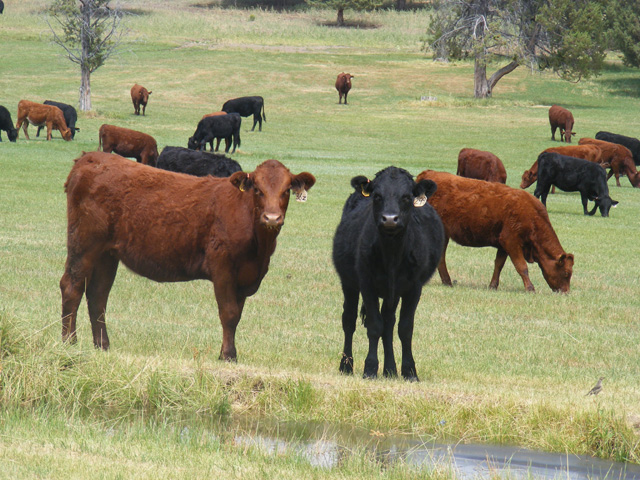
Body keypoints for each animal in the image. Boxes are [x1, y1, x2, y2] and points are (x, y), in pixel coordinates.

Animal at [60, 152, 316, 358]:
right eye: (258, 190)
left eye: (286, 191)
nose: (272, 218)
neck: (259, 249)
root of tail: (90, 158)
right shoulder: (222, 267)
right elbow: (229, 313)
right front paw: (227, 355)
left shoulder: (245, 276)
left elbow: (237, 315)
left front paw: (231, 352)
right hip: (83, 244)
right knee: (72, 286)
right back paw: (69, 342)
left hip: (107, 254)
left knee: (98, 295)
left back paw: (102, 345)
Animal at [330, 167, 444, 380]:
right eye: (377, 196)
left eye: (407, 197)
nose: (390, 219)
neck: (392, 254)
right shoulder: (367, 284)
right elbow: (374, 326)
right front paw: (370, 369)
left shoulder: (413, 287)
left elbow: (405, 328)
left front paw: (409, 371)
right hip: (349, 283)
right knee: (349, 320)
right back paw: (346, 366)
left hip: (393, 294)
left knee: (389, 323)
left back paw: (390, 369)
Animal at [418, 171, 572, 294]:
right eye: (566, 273)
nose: (566, 292)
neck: (532, 215)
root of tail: (427, 174)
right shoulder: (511, 241)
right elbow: (522, 266)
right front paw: (530, 288)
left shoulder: (503, 245)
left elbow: (499, 264)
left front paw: (493, 285)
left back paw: (447, 281)